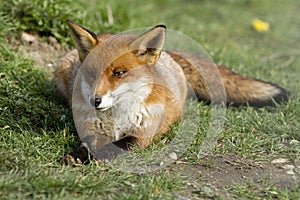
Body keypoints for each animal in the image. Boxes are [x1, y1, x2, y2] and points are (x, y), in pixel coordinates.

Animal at [54, 19, 290, 164]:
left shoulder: (140, 137)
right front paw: (77, 156)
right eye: (91, 74)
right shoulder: (91, 131)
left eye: (119, 73)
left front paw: (96, 159)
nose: (95, 101)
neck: (117, 118)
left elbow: (113, 147)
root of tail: (169, 54)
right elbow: (87, 145)